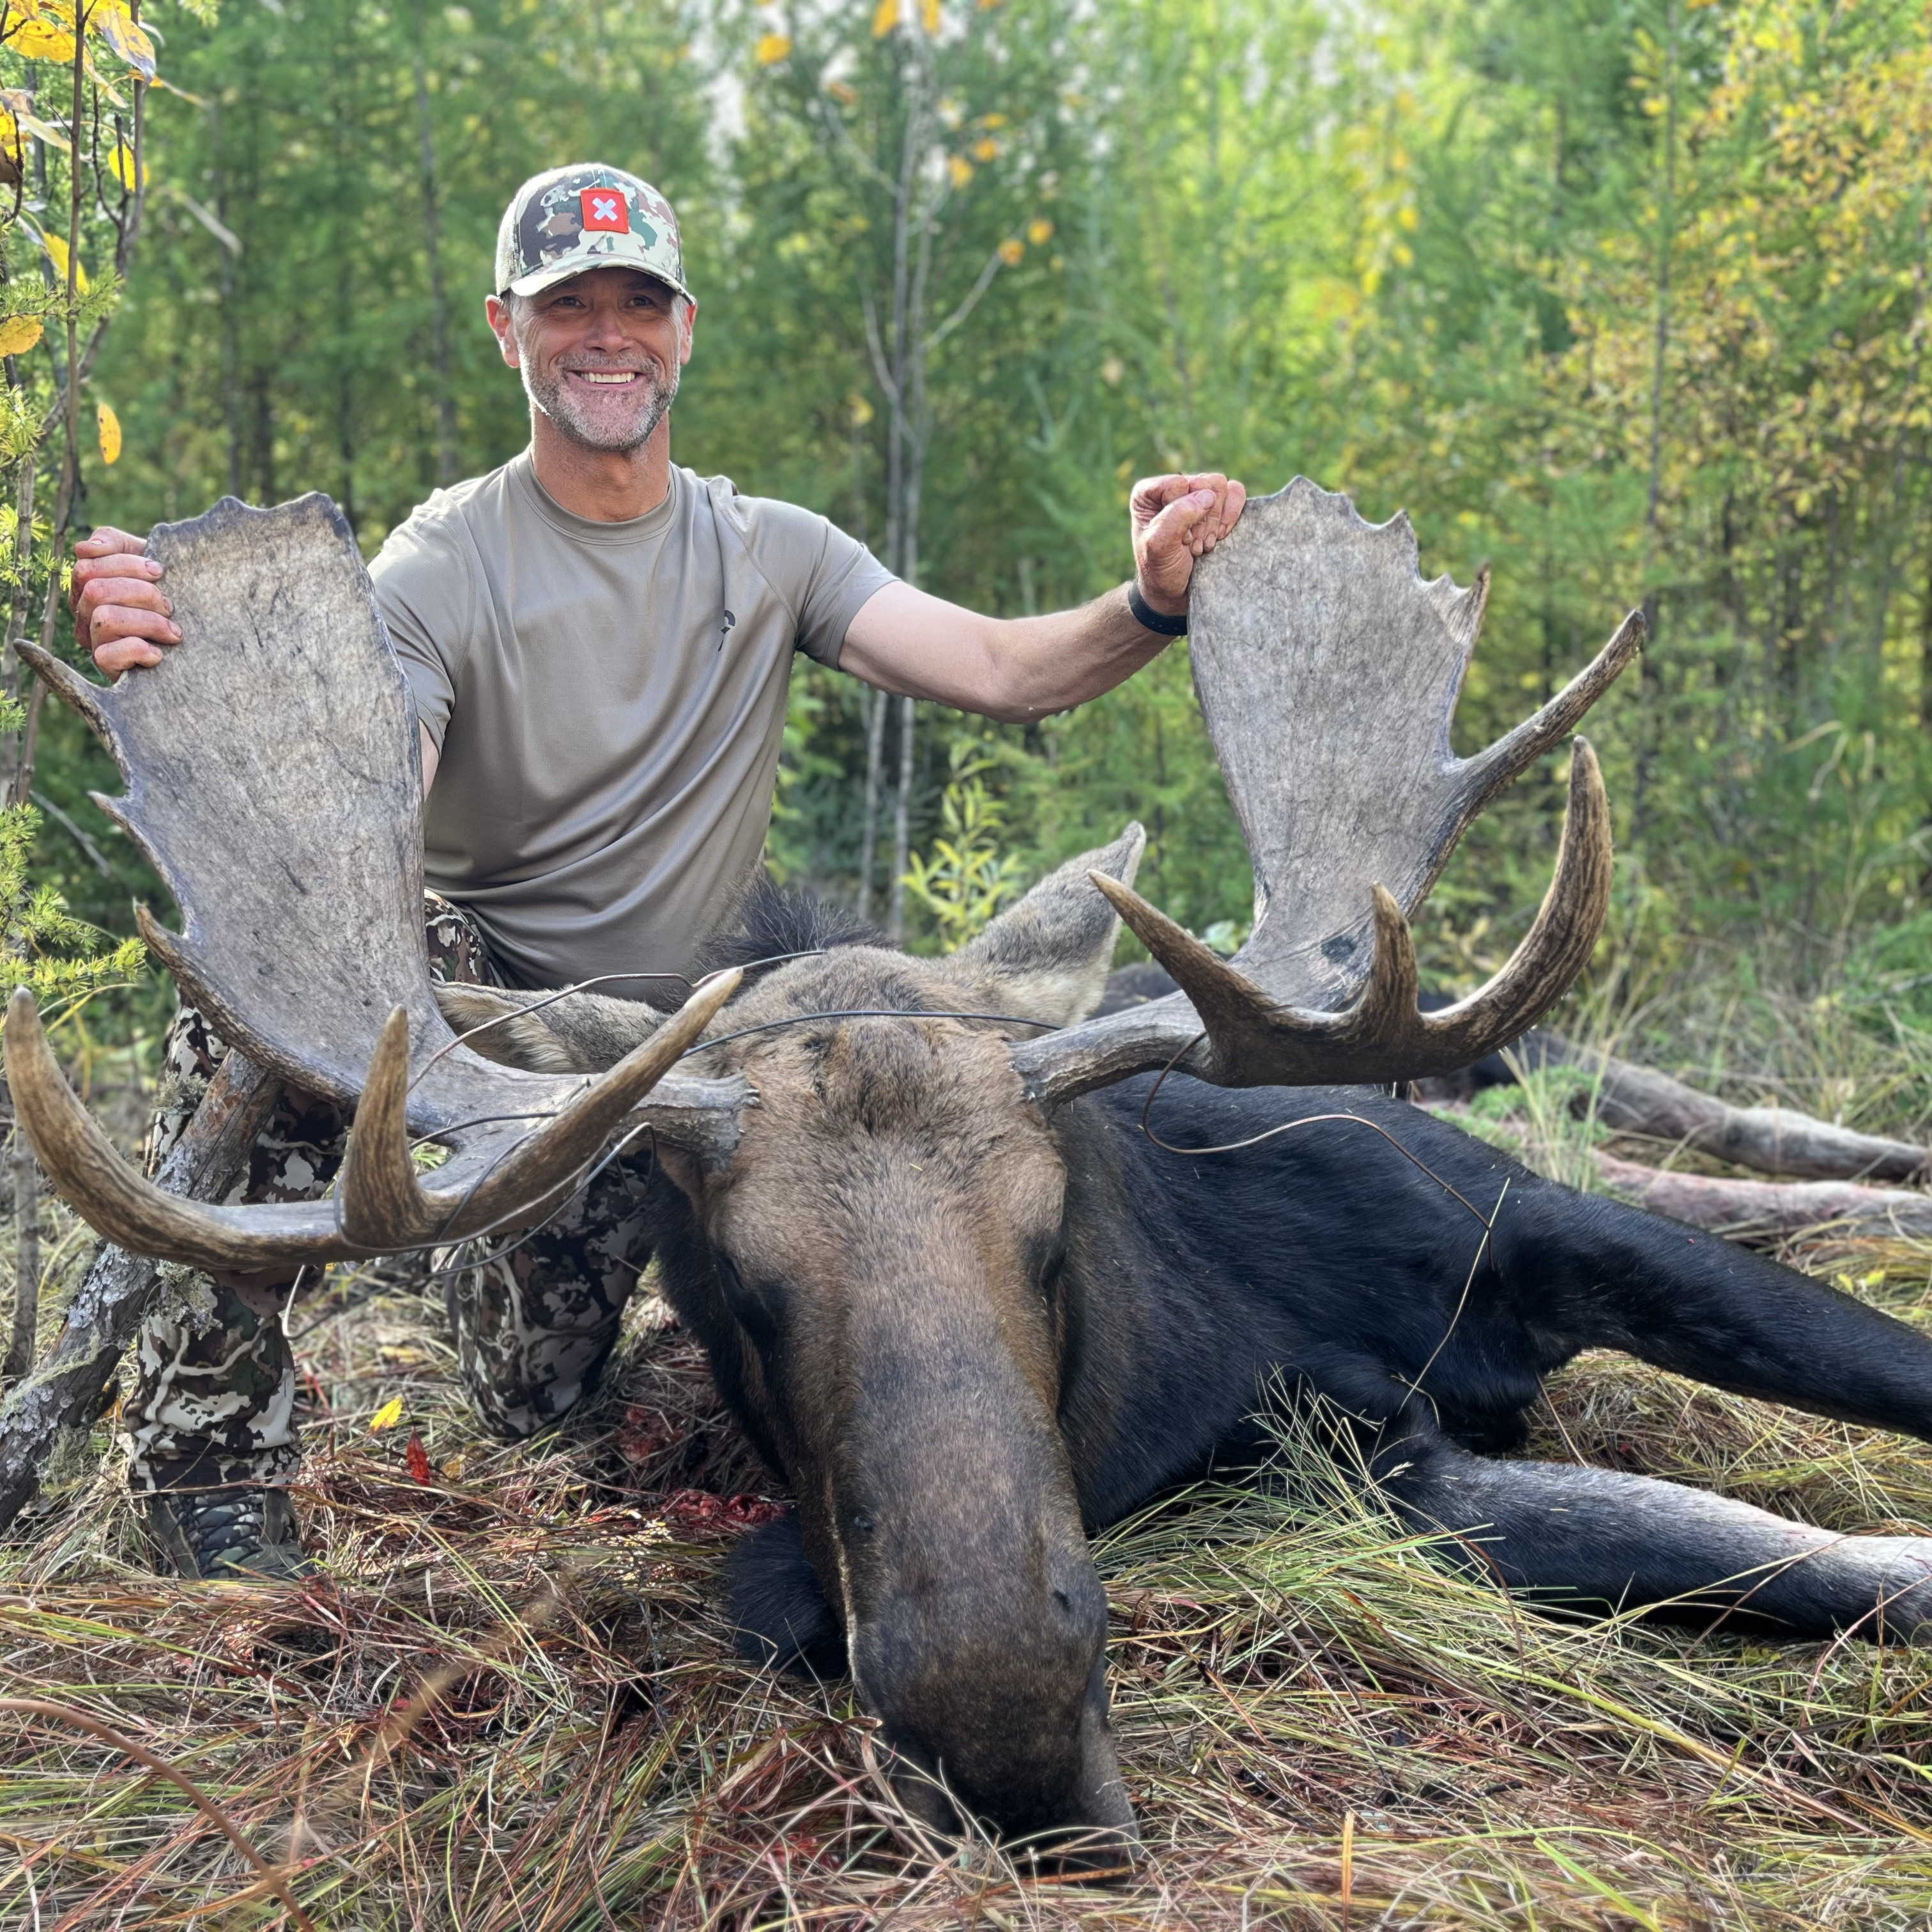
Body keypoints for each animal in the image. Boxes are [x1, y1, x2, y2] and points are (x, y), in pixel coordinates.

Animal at [12, 482, 1932, 1864]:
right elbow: (1819, 1565)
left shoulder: (1538, 1227)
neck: (1187, 1347)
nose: (1004, 1732)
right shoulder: (1369, 1471)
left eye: (1053, 1227)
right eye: (737, 1287)